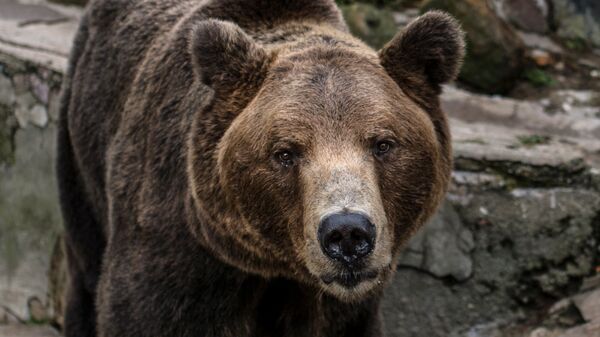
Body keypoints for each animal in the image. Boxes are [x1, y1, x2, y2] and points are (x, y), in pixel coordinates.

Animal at [56, 0, 466, 334]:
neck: (276, 267)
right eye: (285, 153)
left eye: (383, 144)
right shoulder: (178, 249)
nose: (348, 232)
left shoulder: (345, 304)